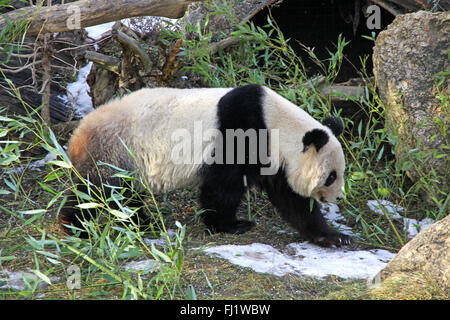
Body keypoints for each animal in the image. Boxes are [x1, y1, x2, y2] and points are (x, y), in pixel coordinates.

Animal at [59, 84, 352, 246]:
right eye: (331, 176)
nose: (337, 198)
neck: (276, 123)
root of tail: (76, 136)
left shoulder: (274, 160)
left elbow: (292, 202)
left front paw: (333, 237)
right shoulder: (241, 131)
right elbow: (222, 187)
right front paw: (230, 224)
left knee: (123, 196)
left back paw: (142, 222)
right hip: (112, 150)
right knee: (97, 192)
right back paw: (74, 226)